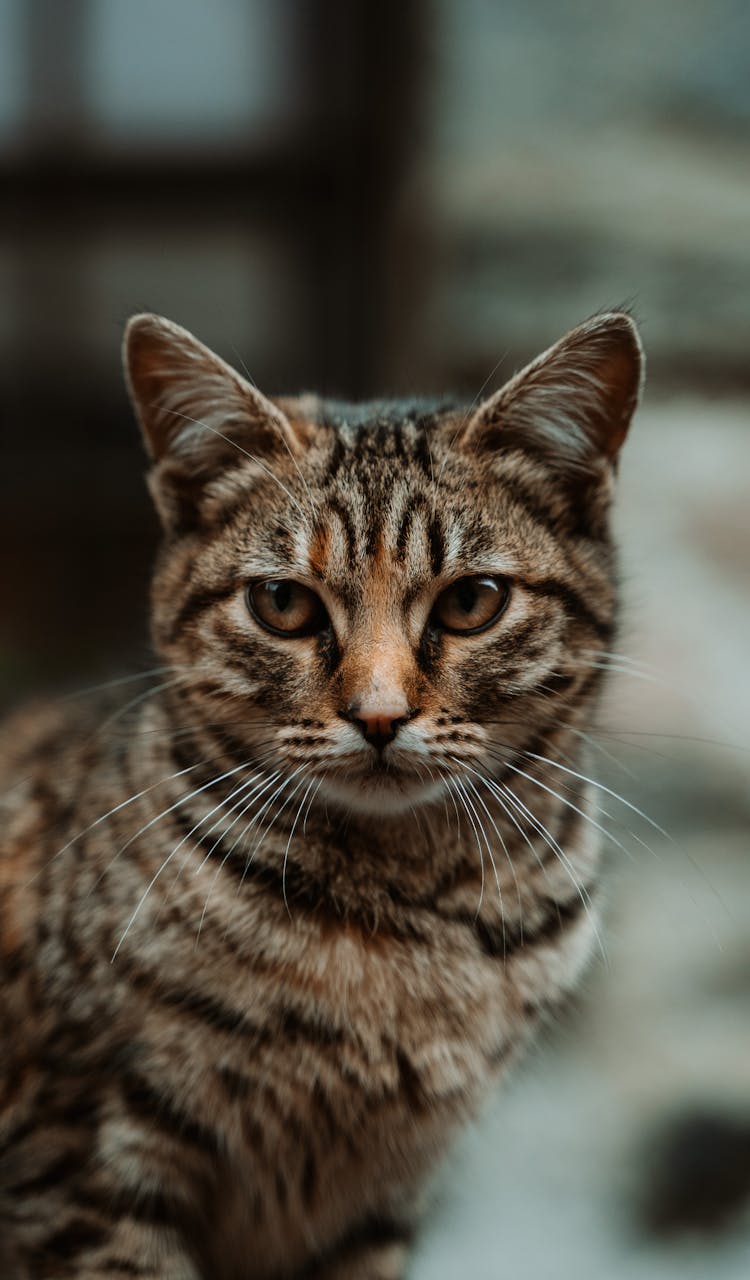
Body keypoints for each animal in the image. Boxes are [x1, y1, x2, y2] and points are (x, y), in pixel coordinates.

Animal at [0, 312, 642, 1280]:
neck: (401, 920)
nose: (378, 715)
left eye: (472, 601)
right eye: (283, 604)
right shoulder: (81, 1171)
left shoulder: (377, 1207)